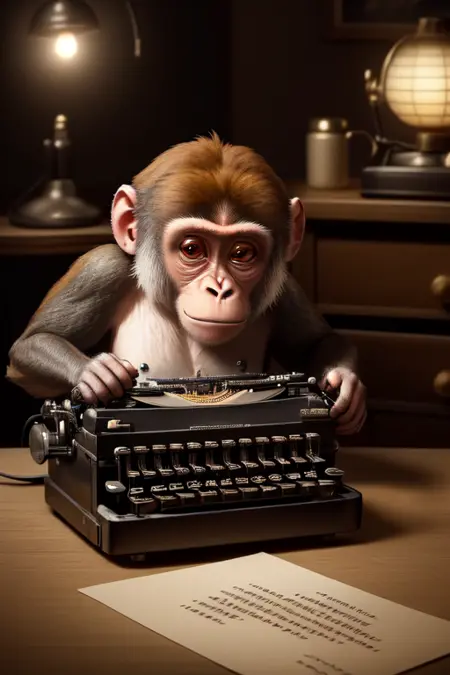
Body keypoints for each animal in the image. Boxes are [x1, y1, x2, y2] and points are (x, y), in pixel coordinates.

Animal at [6, 133, 366, 435]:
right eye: (192, 249)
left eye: (242, 253)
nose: (219, 288)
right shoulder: (99, 270)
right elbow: (32, 344)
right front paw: (96, 372)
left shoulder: (285, 289)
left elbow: (318, 340)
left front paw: (346, 387)